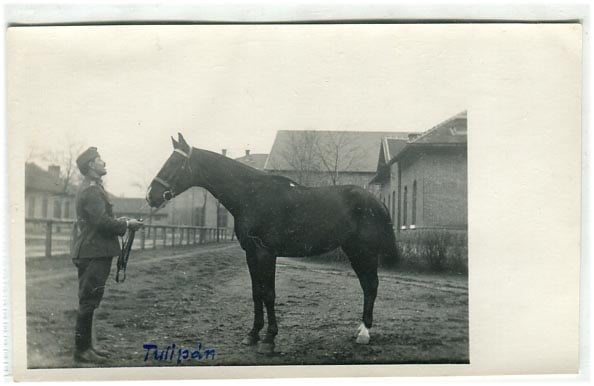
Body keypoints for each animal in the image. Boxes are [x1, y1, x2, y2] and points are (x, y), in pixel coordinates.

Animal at [146, 134, 398, 354]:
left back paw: (364, 334)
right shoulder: (250, 253)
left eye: (174, 162)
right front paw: (252, 334)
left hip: (364, 251)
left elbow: (269, 293)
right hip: (353, 251)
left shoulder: (266, 253)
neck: (252, 196)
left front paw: (269, 339)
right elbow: (256, 292)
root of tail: (377, 202)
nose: (151, 195)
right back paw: (360, 329)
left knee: (371, 285)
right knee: (367, 285)